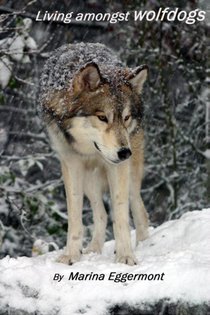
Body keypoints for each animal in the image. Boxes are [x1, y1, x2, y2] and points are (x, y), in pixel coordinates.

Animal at [39, 41, 148, 264]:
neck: (90, 149)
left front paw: (126, 256)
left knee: (137, 205)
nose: (125, 153)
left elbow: (121, 214)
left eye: (126, 117)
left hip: (131, 172)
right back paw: (93, 249)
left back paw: (143, 244)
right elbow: (75, 217)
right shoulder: (71, 164)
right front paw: (71, 255)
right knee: (102, 214)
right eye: (102, 117)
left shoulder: (119, 167)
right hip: (90, 180)